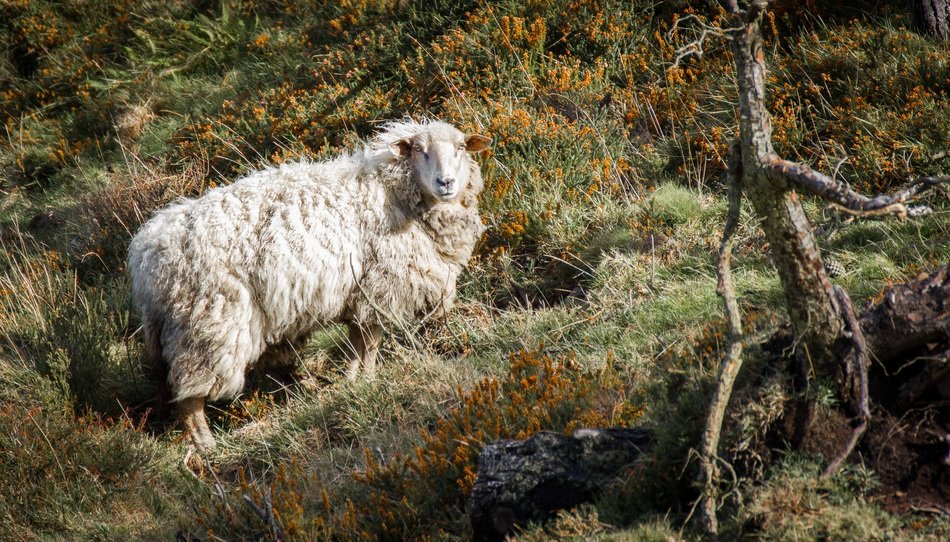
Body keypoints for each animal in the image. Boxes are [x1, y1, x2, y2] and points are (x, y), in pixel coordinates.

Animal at [127, 119, 491, 451]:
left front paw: (353, 380)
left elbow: (358, 345)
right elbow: (371, 344)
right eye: (418, 149)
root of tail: (146, 254)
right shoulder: (380, 287)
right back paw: (207, 447)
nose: (446, 182)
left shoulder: (359, 294)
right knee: (190, 399)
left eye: (461, 147)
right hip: (207, 326)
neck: (393, 191)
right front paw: (368, 380)